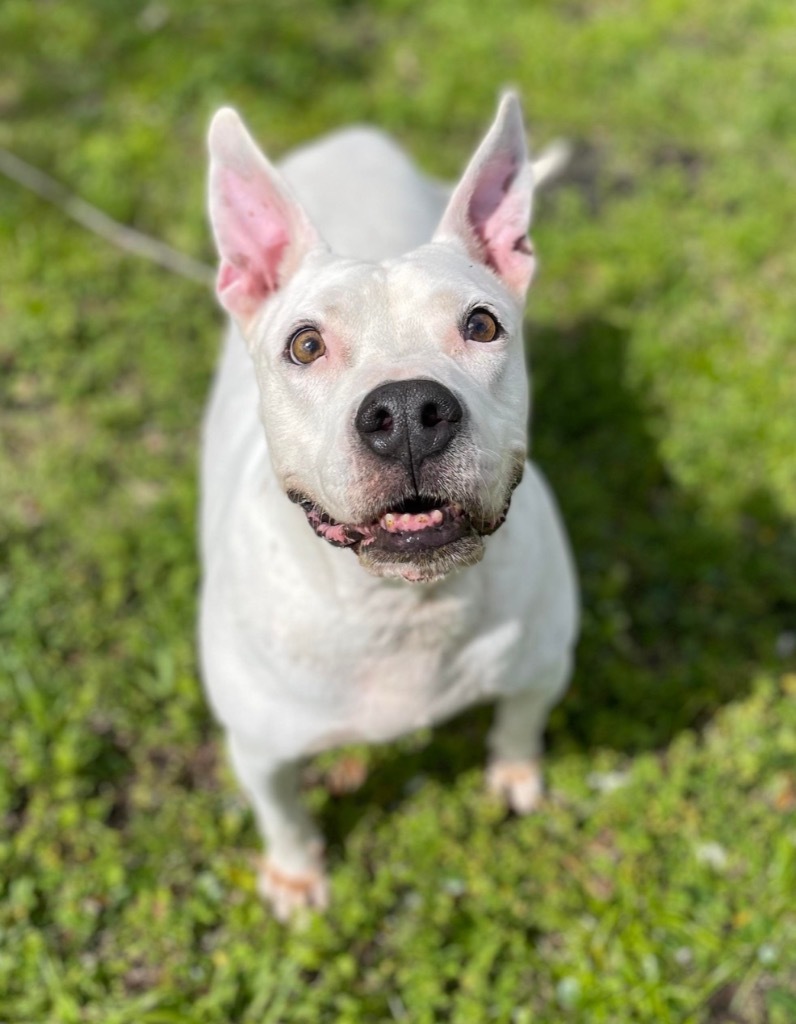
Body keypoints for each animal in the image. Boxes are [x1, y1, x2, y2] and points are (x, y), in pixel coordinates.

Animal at [201, 92, 577, 917]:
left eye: (481, 324)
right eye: (305, 345)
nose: (407, 410)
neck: (402, 610)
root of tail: (353, 136)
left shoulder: (543, 665)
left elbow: (519, 723)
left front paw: (514, 775)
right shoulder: (260, 748)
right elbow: (282, 812)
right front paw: (296, 874)